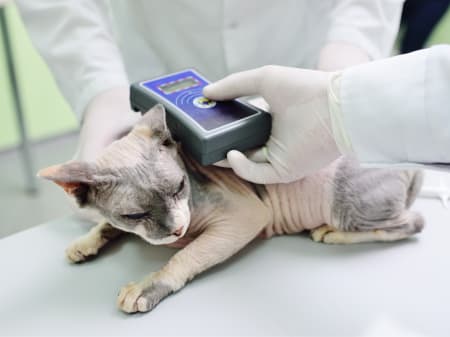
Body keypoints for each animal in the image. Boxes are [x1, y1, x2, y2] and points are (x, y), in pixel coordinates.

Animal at [37, 104, 422, 312]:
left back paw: (332, 233)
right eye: (135, 215)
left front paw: (147, 287)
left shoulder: (247, 216)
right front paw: (86, 242)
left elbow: (185, 256)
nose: (176, 229)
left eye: (180, 187)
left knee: (413, 222)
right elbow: (108, 225)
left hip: (347, 202)